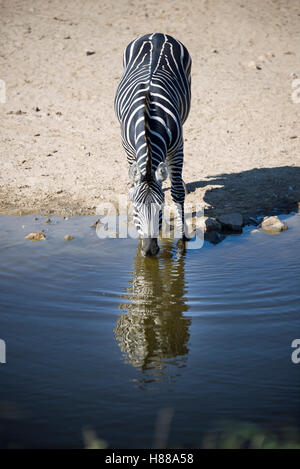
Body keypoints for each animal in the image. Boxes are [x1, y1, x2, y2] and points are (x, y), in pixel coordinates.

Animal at [113, 32, 191, 256]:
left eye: (161, 209)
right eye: (136, 210)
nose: (148, 250)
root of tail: (157, 34)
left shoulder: (177, 147)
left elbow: (177, 192)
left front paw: (183, 238)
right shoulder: (128, 149)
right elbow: (134, 183)